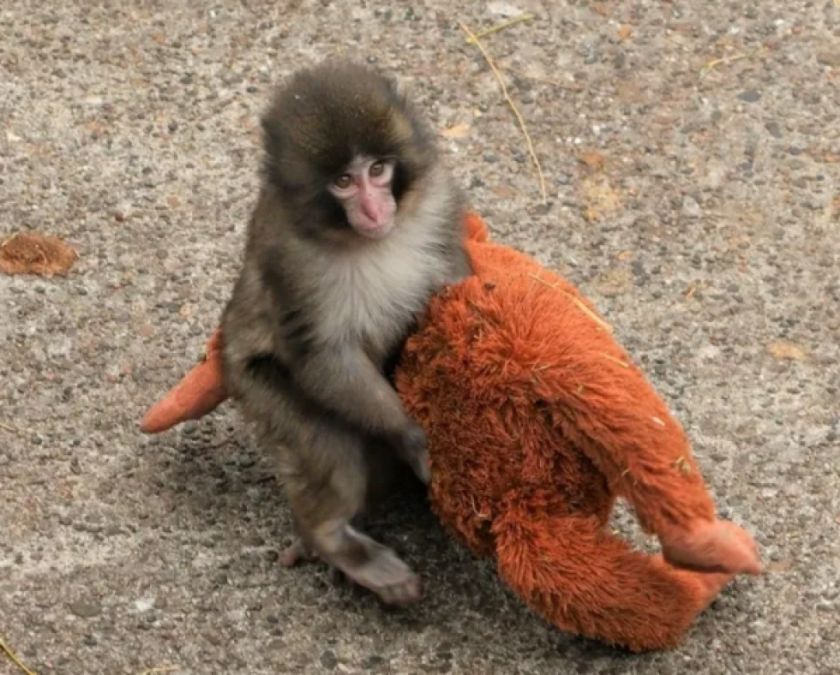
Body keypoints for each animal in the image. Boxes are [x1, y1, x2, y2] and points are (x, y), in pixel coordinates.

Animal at [220, 60, 471, 605]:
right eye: (342, 181)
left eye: (377, 170)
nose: (375, 211)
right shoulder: (290, 258)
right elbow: (322, 355)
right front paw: (413, 438)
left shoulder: (438, 201)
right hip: (255, 386)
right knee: (330, 445)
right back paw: (330, 539)